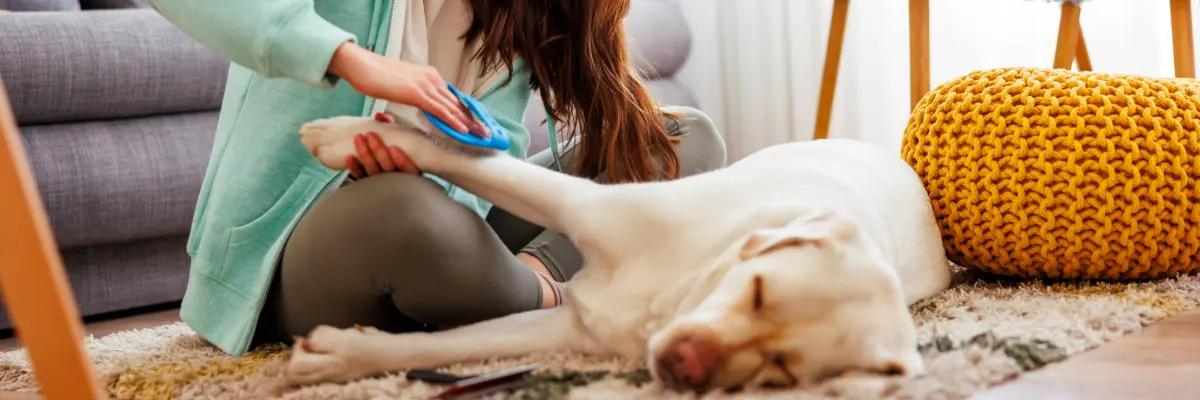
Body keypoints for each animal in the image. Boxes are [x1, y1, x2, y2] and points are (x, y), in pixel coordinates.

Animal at [285, 113, 950, 391]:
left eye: (782, 370)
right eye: (760, 290)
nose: (685, 364)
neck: (680, 288)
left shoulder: (569, 330)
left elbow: (447, 345)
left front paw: (335, 358)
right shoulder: (586, 203)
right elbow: (470, 160)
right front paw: (346, 136)